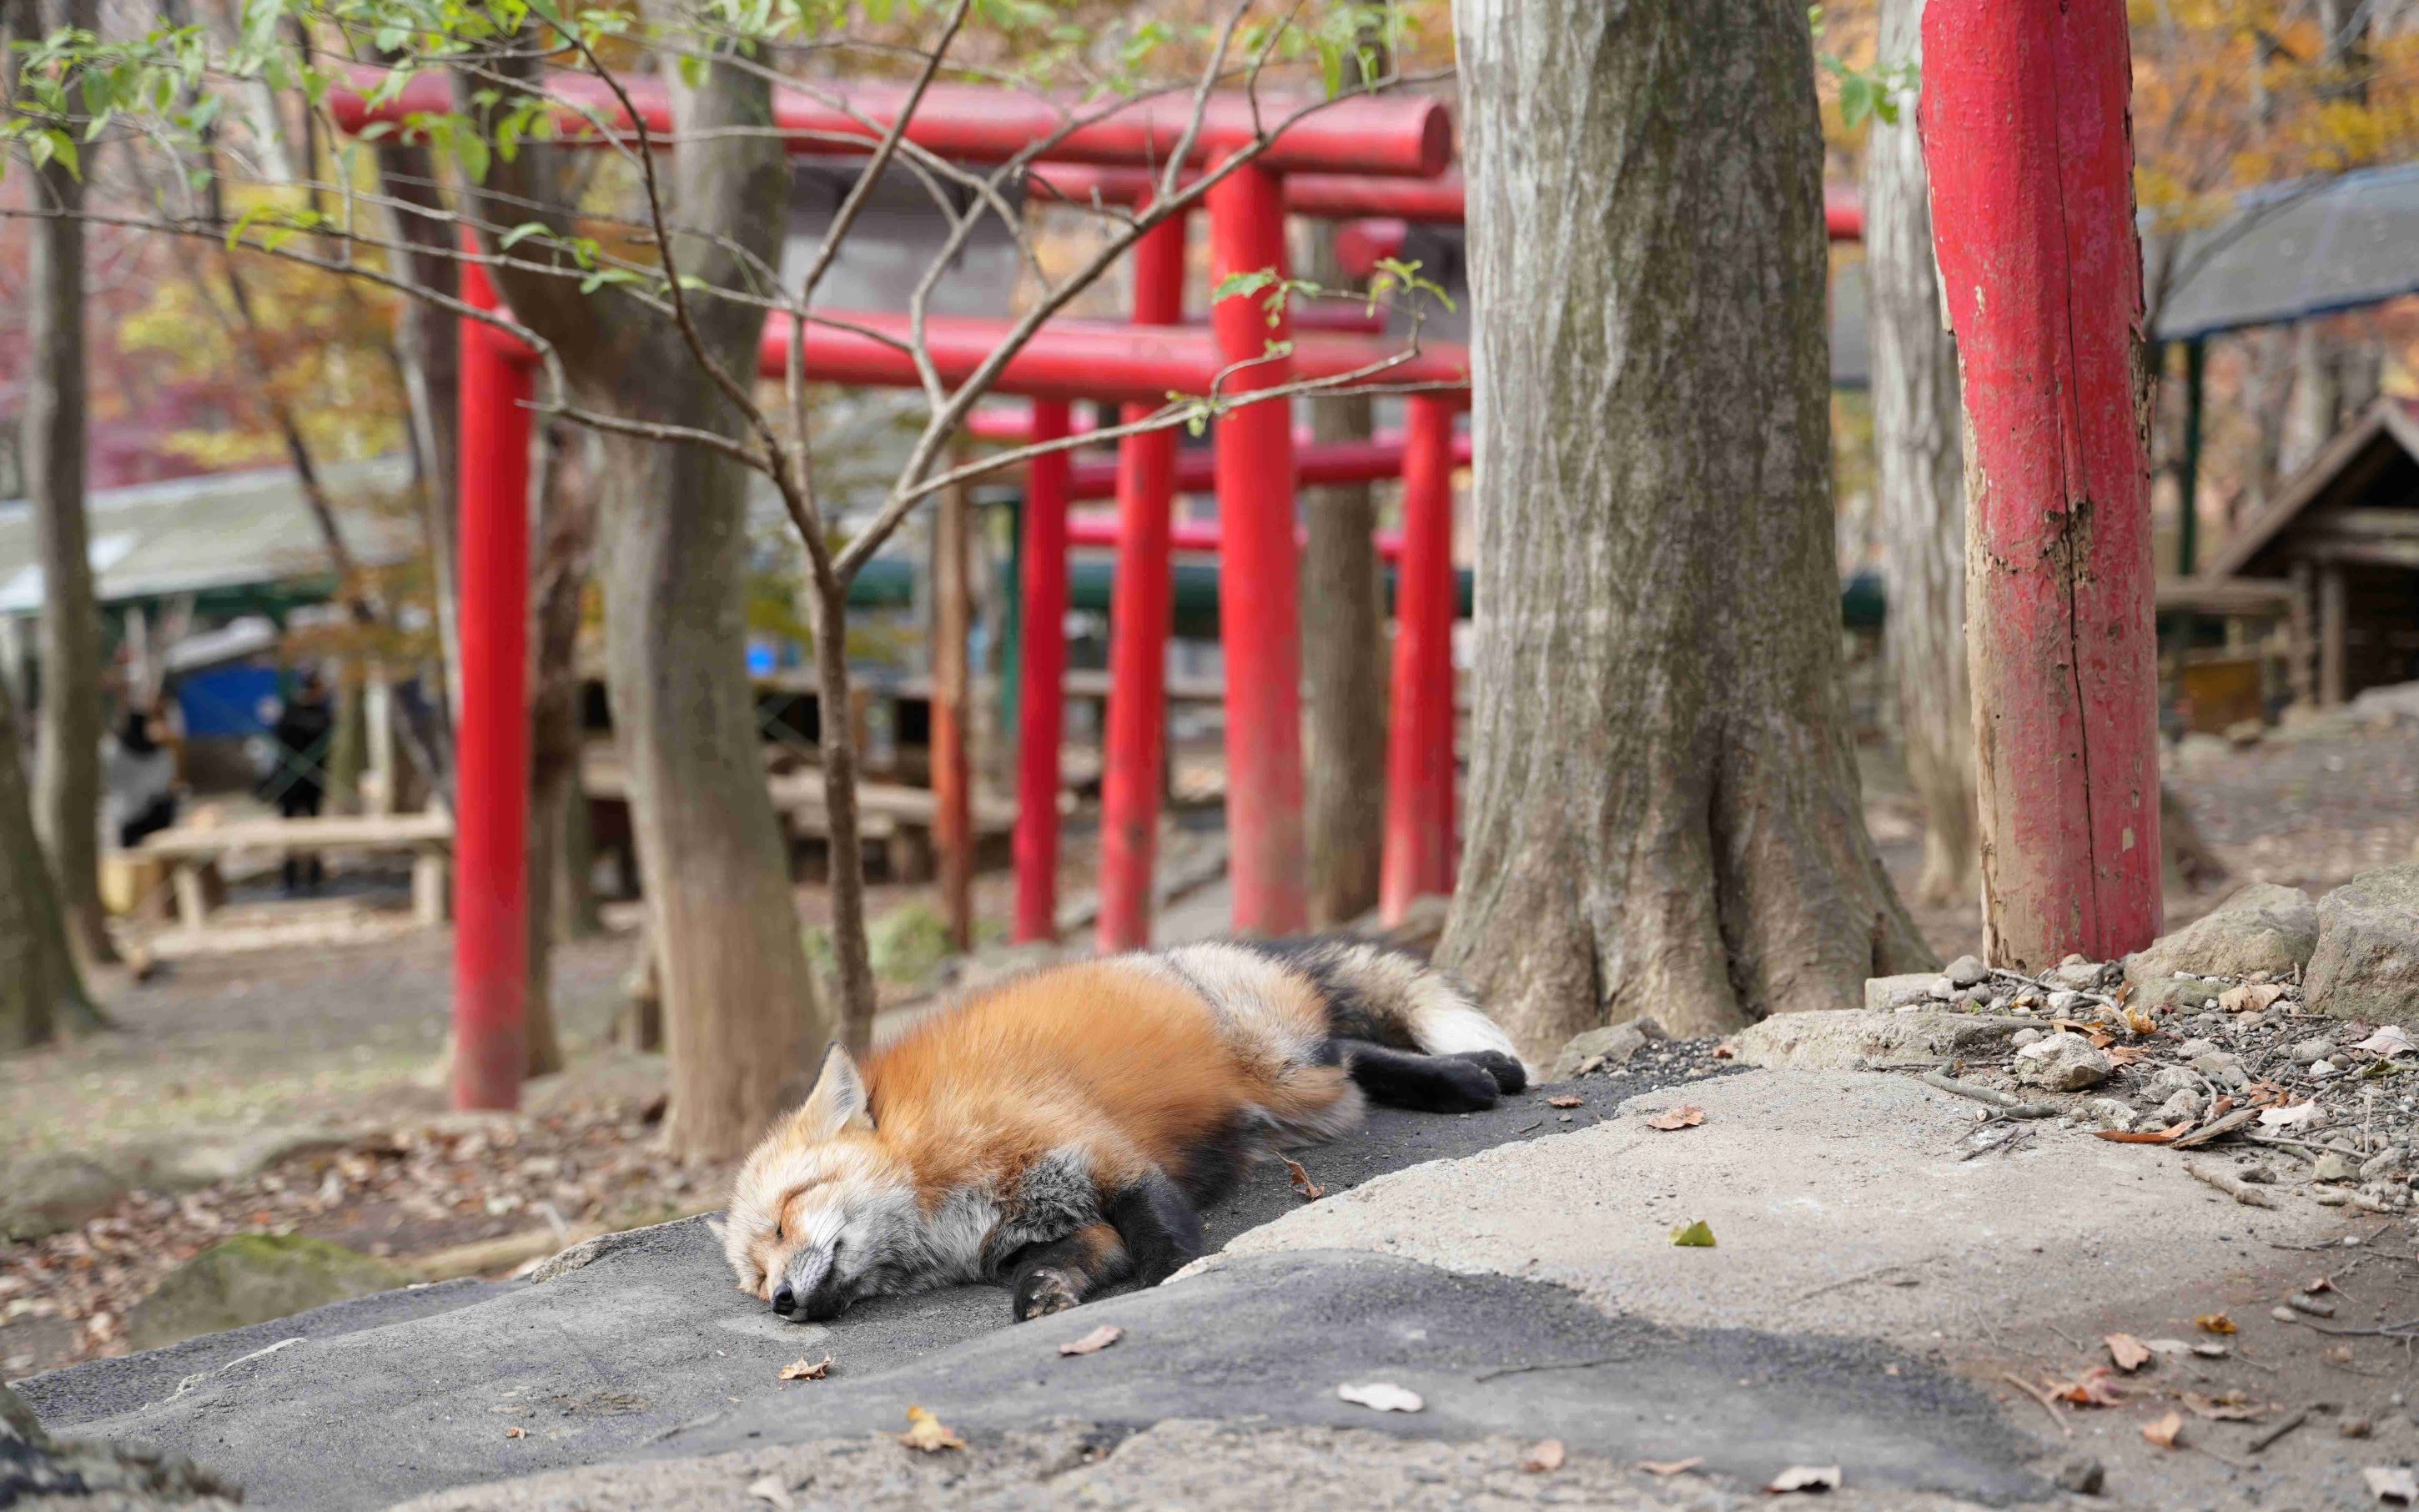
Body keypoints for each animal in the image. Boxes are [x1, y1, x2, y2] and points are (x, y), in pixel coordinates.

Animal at [723, 939, 1527, 1325]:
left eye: (785, 1218)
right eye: (757, 1279)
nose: (783, 1302)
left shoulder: (1102, 1155)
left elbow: (1160, 1237)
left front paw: (1176, 1282)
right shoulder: (1042, 1228)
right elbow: (1061, 1265)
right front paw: (1047, 1298)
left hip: (1284, 1074)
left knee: (1352, 1051)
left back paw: (1475, 1076)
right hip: (1289, 1108)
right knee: (1356, 1064)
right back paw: (1481, 1073)